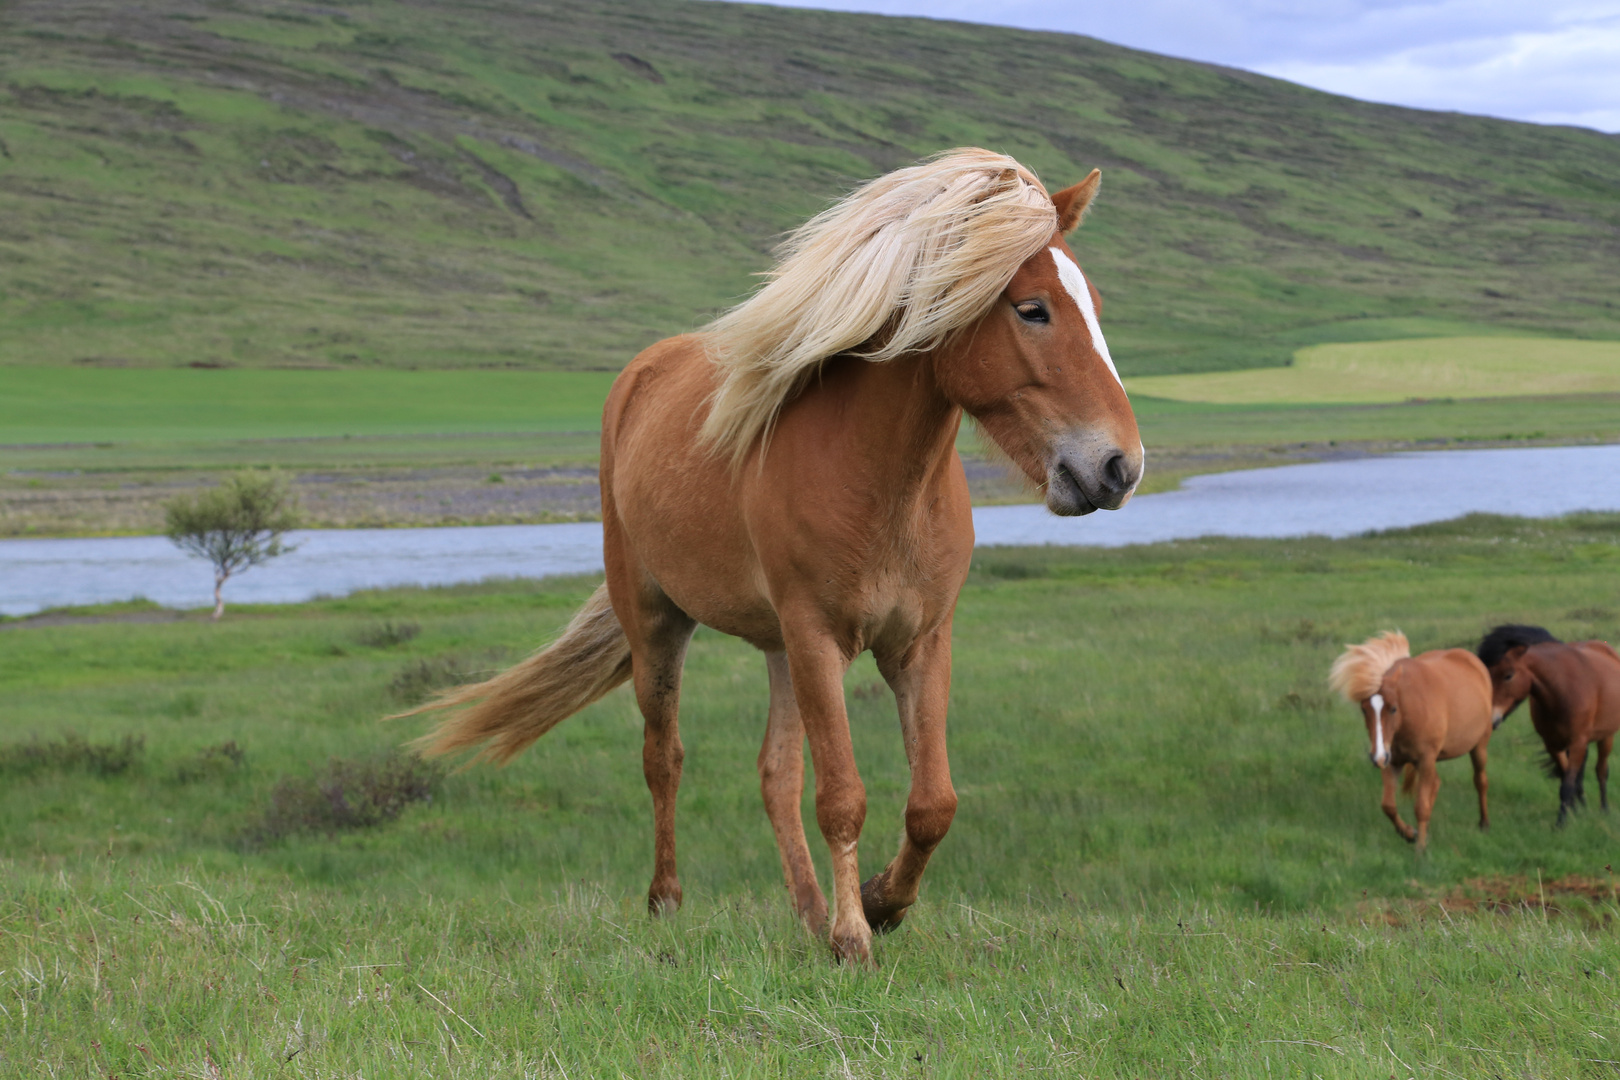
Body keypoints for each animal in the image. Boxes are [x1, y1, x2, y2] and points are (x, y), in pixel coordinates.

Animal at [405, 149, 1140, 965]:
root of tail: (641, 374)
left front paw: (880, 904)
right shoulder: (818, 637)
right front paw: (855, 937)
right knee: (664, 758)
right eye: (1032, 308)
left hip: (779, 649)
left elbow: (932, 803)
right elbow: (843, 796)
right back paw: (670, 901)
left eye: (1094, 302)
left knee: (775, 775)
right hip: (661, 624)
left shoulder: (918, 642)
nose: (1118, 466)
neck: (881, 479)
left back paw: (810, 911)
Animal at [1328, 634, 1490, 854]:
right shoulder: (1393, 761)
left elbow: (1420, 806)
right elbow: (1388, 805)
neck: (1409, 714)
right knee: (1436, 784)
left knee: (1480, 781)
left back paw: (1484, 823)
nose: (1376, 757)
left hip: (1478, 747)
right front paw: (1409, 833)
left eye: (1393, 708)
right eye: (1364, 709)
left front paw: (1420, 848)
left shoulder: (1425, 759)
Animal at [1483, 625, 1620, 829]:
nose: (1491, 720)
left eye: (1508, 675)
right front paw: (1572, 811)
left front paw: (1561, 823)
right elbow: (1566, 777)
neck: (1563, 690)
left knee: (1601, 771)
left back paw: (1604, 809)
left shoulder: (1577, 743)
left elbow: (1568, 783)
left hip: (1605, 737)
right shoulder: (1553, 744)